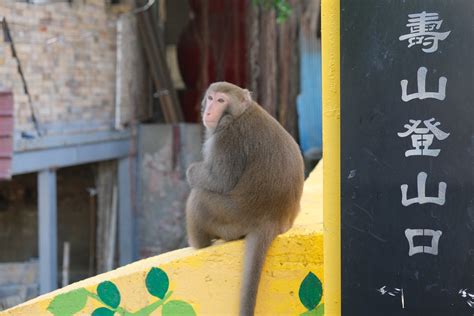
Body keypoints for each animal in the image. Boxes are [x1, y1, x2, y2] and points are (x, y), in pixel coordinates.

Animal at [185, 82, 304, 316]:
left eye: (221, 101)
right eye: (211, 98)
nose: (209, 111)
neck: (240, 113)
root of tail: (272, 220)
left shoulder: (227, 138)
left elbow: (219, 180)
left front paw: (191, 171)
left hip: (232, 218)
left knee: (199, 198)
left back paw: (199, 245)